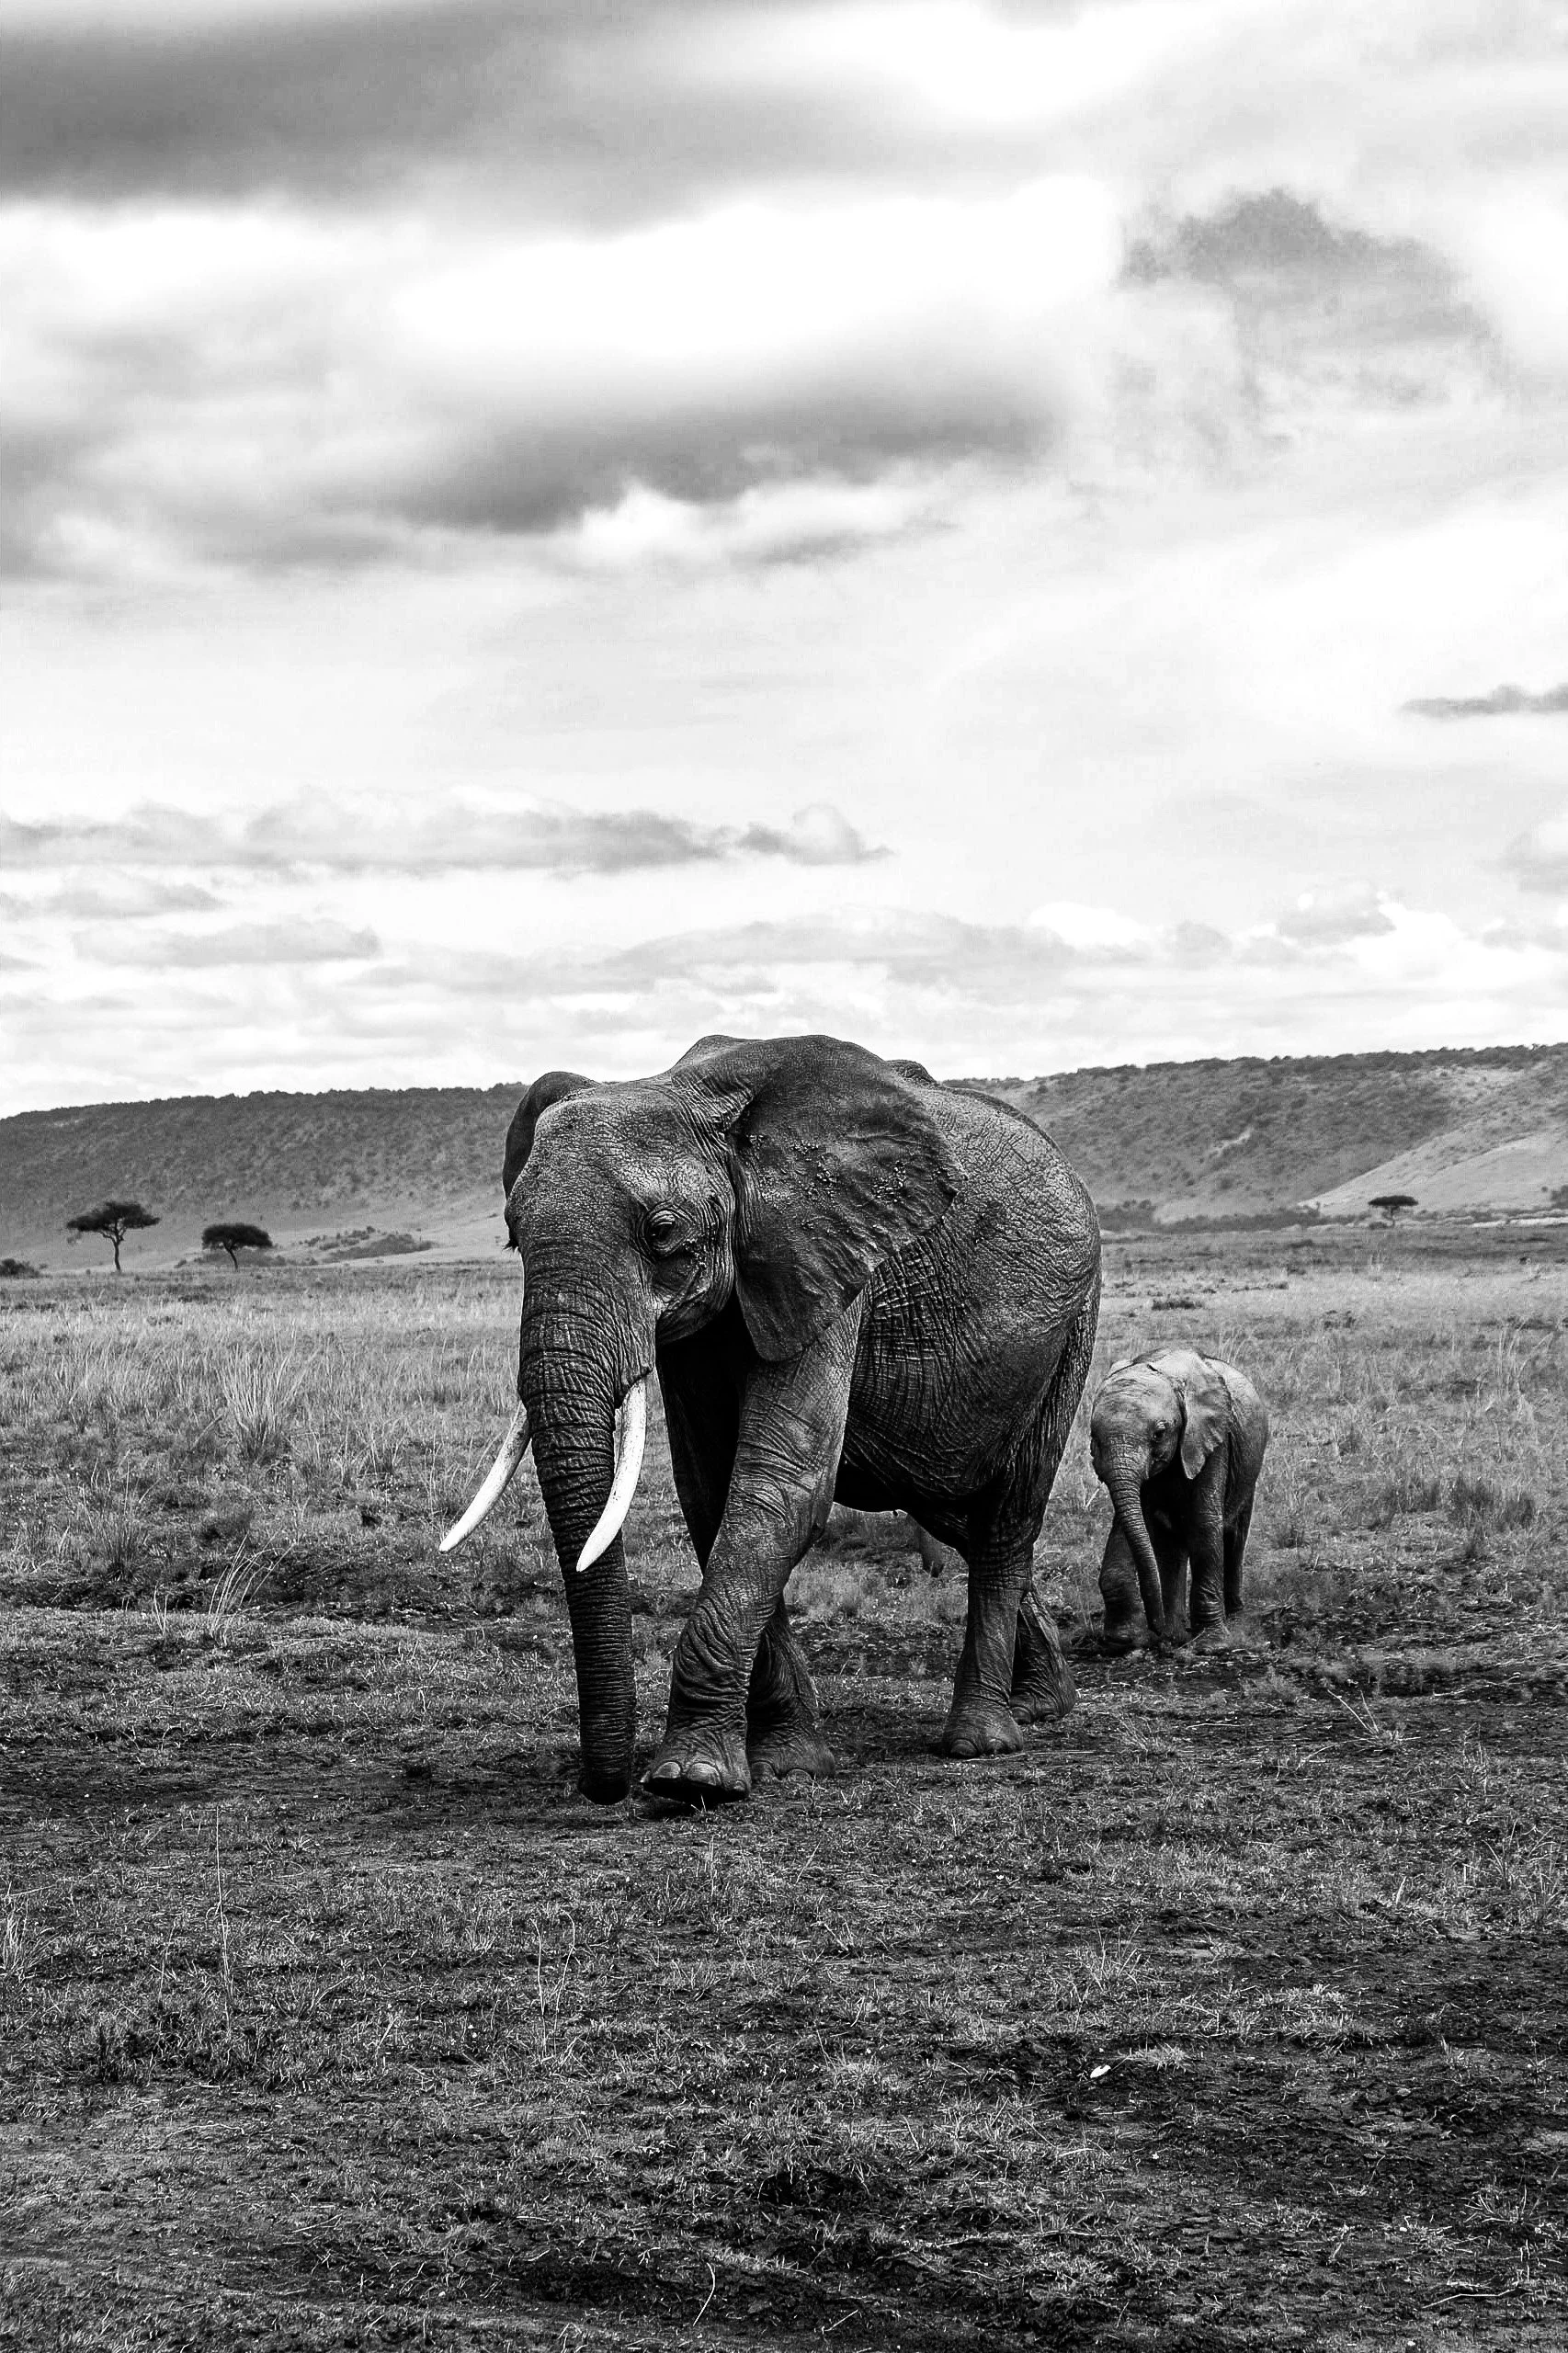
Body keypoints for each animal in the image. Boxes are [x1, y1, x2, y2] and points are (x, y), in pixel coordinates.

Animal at [443, 1033, 1102, 1805]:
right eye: (514, 1238)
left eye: (663, 1233)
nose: (603, 1788)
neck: (682, 1092)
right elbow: (712, 1491)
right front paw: (788, 1764)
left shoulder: (828, 1260)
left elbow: (780, 1487)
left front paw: (689, 1781)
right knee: (951, 1506)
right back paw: (1044, 1703)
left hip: (1072, 1324)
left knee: (1007, 1514)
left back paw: (981, 1740)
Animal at [1089, 1347, 1268, 1653]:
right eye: (1094, 1439)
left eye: (1159, 1434)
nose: (1155, 1628)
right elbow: (1128, 1527)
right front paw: (1122, 1640)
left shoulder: (1212, 1440)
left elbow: (1204, 1525)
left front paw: (1211, 1646)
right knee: (1172, 1544)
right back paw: (1176, 1634)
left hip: (1249, 1469)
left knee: (1234, 1535)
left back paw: (1231, 1616)